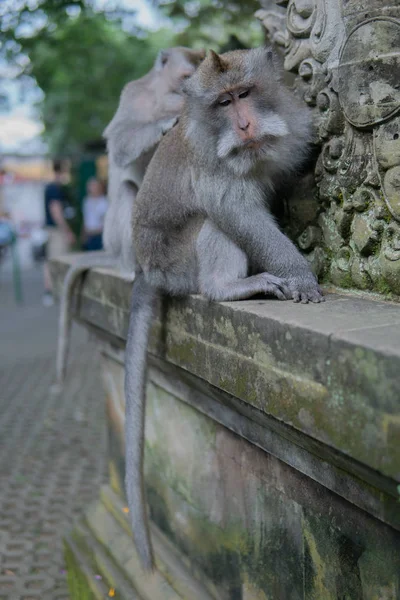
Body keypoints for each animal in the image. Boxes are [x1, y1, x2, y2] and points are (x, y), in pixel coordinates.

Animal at [54, 47, 205, 386]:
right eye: (185, 77)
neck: (162, 94)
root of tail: (112, 251)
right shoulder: (133, 94)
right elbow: (121, 141)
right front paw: (165, 123)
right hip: (117, 236)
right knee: (125, 189)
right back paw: (133, 263)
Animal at [123, 47, 324, 572]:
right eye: (223, 102)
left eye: (245, 93)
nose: (245, 125)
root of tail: (146, 269)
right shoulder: (212, 166)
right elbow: (237, 212)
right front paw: (299, 274)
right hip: (178, 263)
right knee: (212, 224)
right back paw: (229, 288)